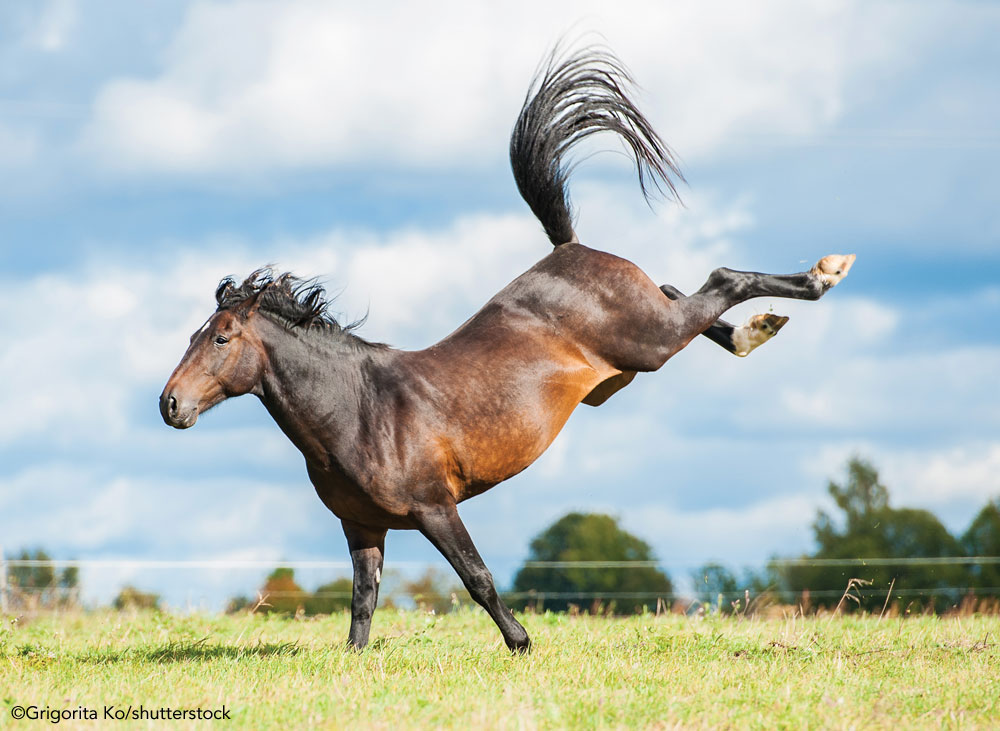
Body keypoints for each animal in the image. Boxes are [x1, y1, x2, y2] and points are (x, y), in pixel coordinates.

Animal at [160, 47, 856, 652]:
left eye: (220, 337)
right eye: (193, 336)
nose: (169, 405)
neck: (357, 410)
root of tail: (568, 248)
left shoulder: (434, 508)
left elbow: (477, 577)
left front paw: (521, 643)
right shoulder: (362, 526)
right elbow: (363, 601)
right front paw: (355, 661)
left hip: (651, 341)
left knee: (720, 280)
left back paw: (819, 277)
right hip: (648, 339)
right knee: (683, 289)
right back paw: (759, 327)